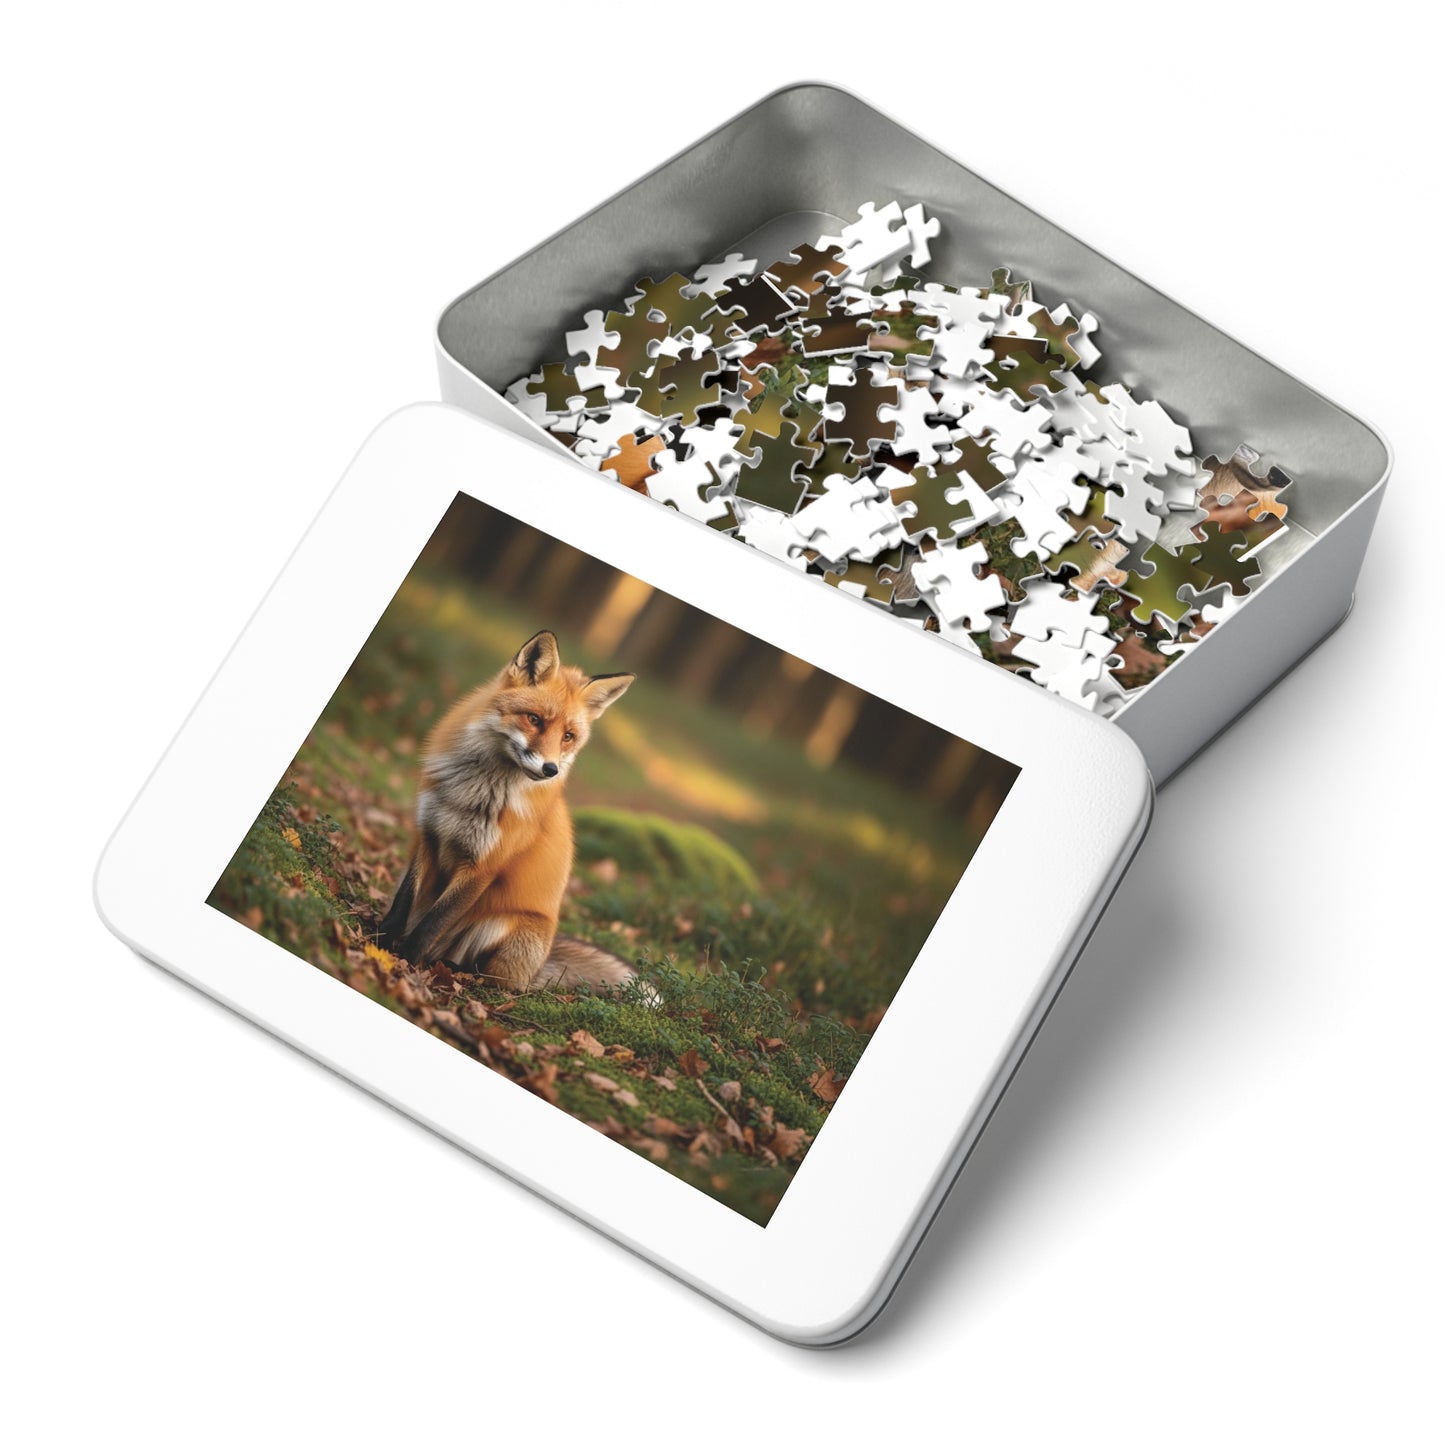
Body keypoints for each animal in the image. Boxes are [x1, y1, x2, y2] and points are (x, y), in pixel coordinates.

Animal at [378, 630, 638, 992]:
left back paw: (450, 968)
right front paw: (380, 940)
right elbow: (404, 901)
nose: (550, 769)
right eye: (534, 719)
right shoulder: (426, 835)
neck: (473, 791)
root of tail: (542, 963)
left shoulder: (484, 866)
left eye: (568, 736)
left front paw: (404, 959)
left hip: (504, 928)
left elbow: (433, 924)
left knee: (492, 977)